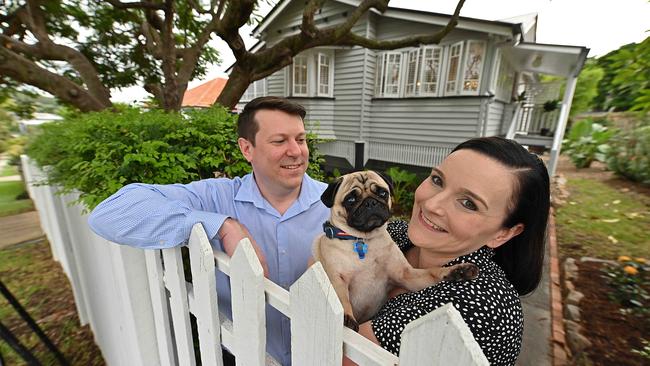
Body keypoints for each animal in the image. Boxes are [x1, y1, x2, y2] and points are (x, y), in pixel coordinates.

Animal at [308, 170, 476, 330]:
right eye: (350, 200)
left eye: (383, 193)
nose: (370, 202)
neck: (364, 240)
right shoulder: (337, 278)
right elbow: (341, 299)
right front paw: (347, 317)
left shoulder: (406, 275)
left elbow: (433, 272)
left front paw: (457, 270)